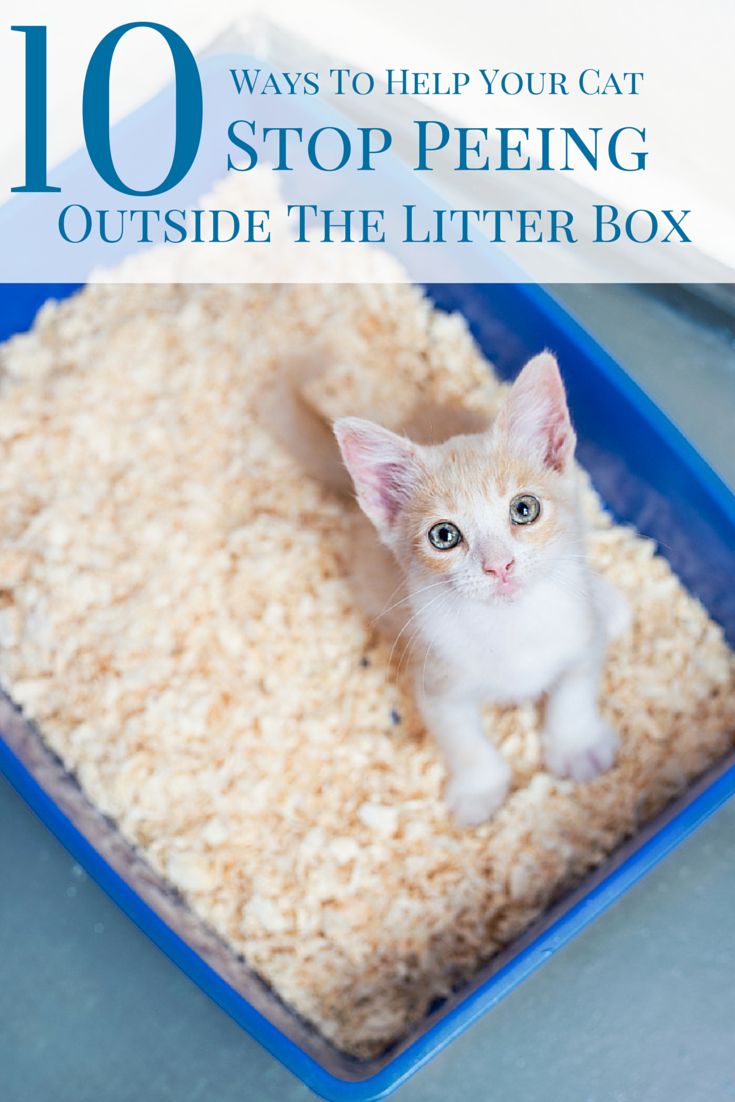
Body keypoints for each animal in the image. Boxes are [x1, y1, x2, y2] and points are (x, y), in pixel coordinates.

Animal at [332, 352, 625, 828]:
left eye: (524, 509)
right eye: (444, 536)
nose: (499, 565)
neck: (511, 625)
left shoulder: (583, 636)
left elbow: (575, 690)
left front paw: (576, 745)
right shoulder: (436, 680)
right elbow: (463, 740)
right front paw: (479, 791)